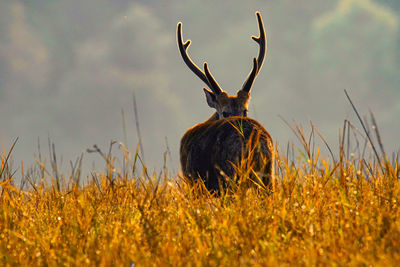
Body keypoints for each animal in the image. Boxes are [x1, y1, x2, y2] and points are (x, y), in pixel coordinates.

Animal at [177, 12, 274, 193]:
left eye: (245, 110)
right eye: (224, 112)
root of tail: (254, 145)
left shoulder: (194, 181)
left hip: (228, 177)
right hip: (269, 175)